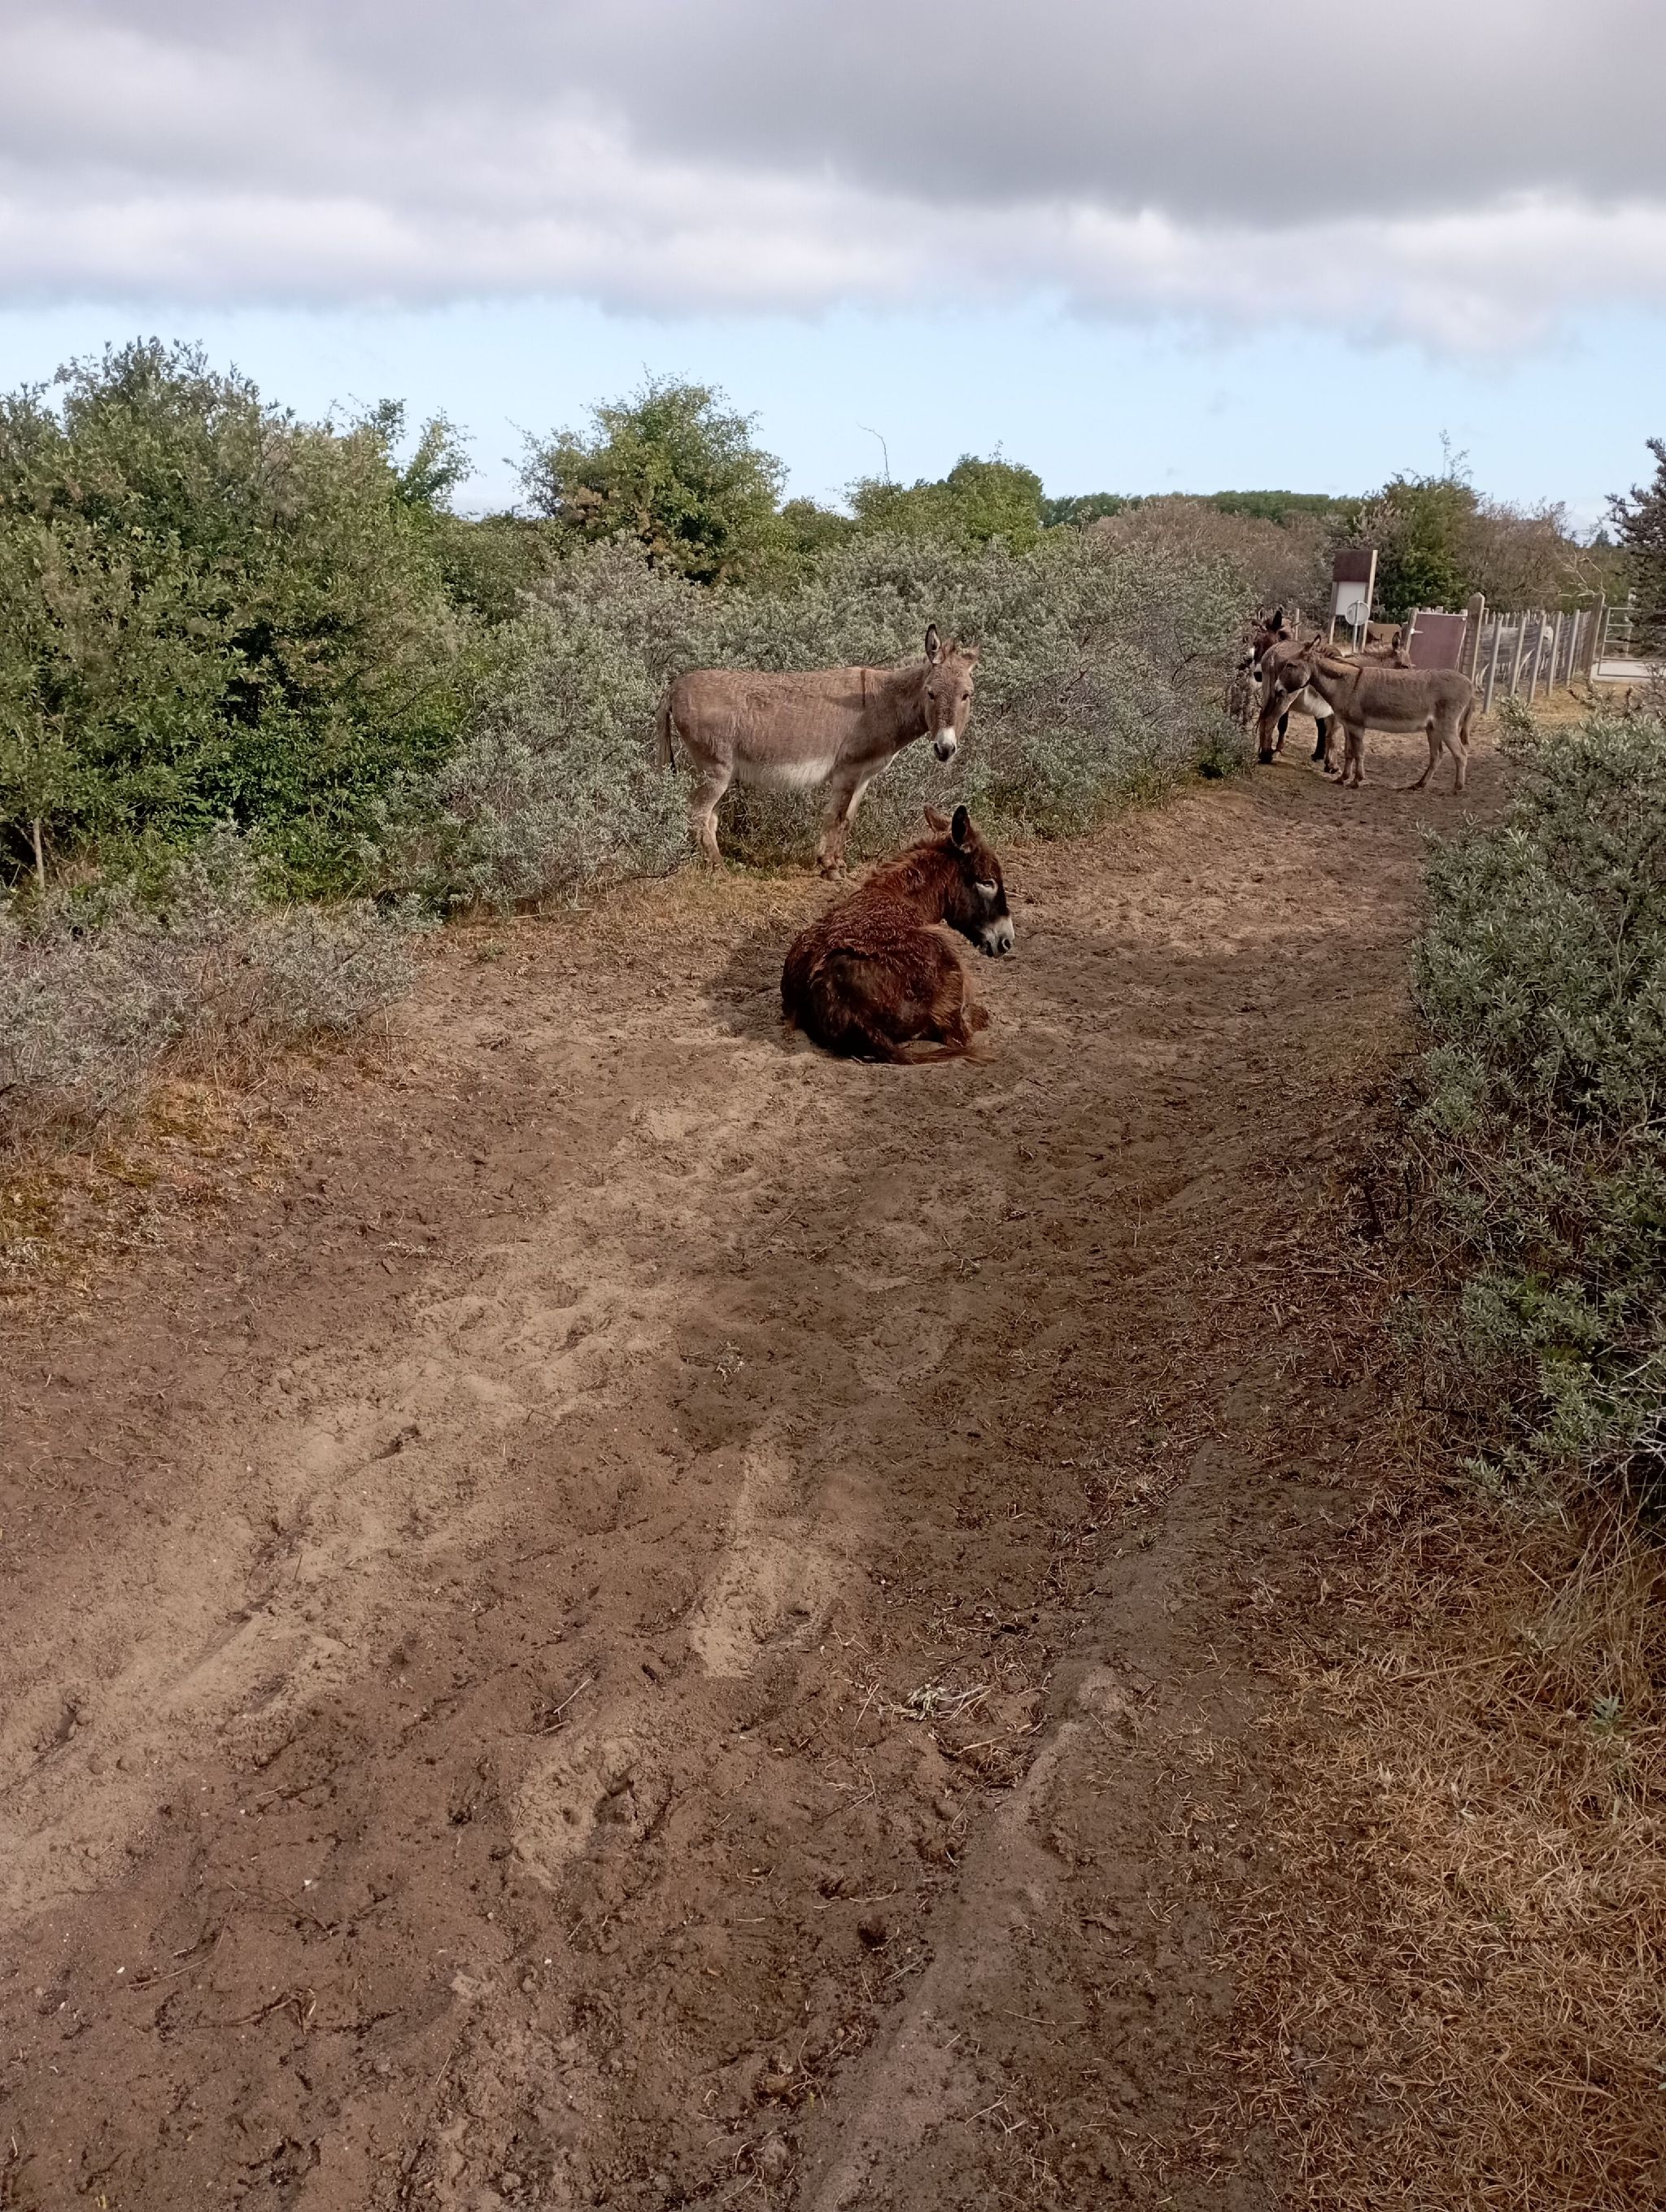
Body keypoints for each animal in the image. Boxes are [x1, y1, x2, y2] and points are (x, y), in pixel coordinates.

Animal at [655, 625, 980, 873]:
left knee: (708, 817)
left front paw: (837, 863)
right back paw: (719, 867)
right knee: (698, 814)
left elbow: (847, 819)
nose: (945, 749)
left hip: (715, 771)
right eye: (931, 693)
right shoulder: (848, 770)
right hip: (715, 770)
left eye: (966, 695)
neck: (883, 703)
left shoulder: (864, 775)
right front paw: (829, 867)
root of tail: (673, 687)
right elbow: (836, 815)